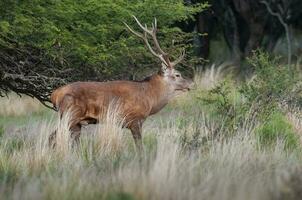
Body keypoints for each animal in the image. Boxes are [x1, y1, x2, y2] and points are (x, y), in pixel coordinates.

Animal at [48, 16, 192, 153]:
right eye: (177, 74)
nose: (190, 84)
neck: (150, 97)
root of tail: (55, 94)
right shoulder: (135, 120)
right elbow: (140, 147)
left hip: (76, 122)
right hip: (69, 114)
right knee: (52, 137)